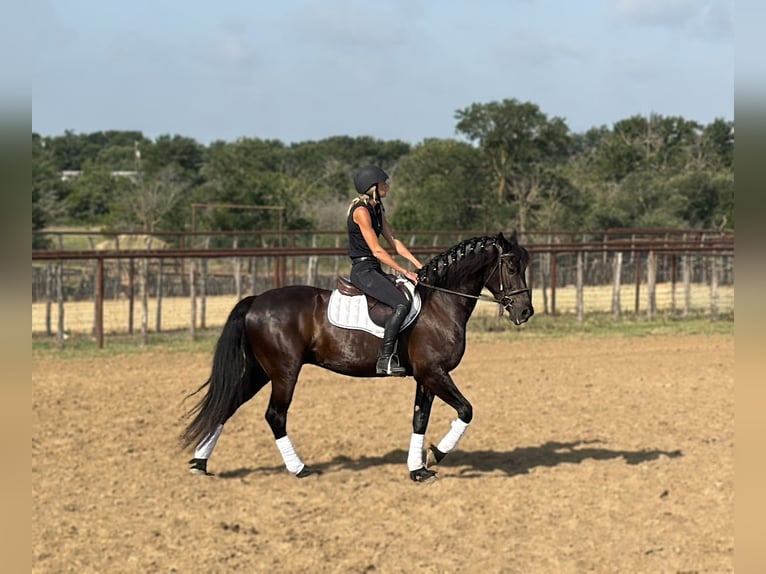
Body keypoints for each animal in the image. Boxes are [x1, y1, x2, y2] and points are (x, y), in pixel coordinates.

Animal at [180, 232, 534, 482]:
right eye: (511, 267)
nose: (525, 312)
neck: (440, 302)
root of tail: (256, 301)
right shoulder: (435, 373)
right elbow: (466, 410)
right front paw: (436, 454)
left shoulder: (426, 376)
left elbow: (420, 419)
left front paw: (418, 469)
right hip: (283, 372)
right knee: (275, 416)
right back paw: (300, 468)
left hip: (259, 370)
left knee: (227, 404)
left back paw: (200, 462)